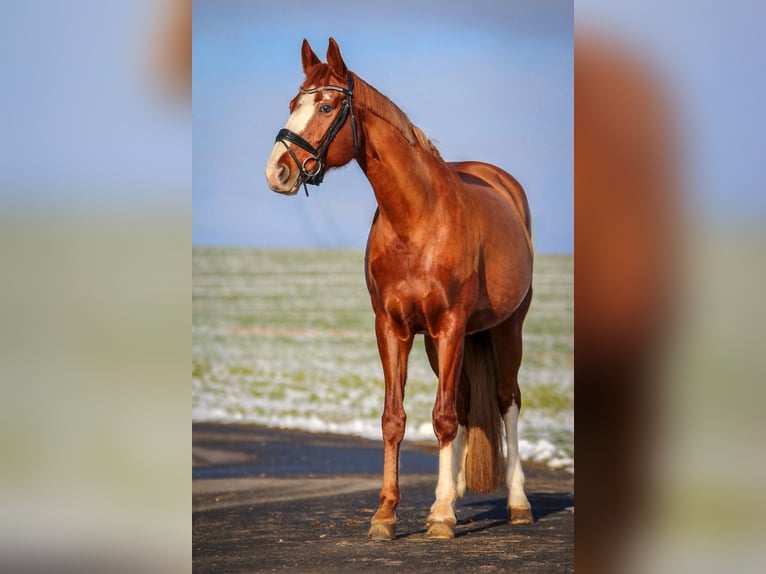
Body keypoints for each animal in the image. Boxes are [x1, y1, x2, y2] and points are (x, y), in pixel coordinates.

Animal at [265, 38, 534, 540]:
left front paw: (442, 517)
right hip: (441, 343)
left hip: (506, 329)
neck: (416, 219)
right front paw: (387, 515)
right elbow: (396, 420)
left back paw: (517, 502)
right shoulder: (393, 328)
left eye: (326, 106)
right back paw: (456, 494)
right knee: (465, 404)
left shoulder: (450, 325)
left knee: (507, 400)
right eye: (293, 104)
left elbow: (443, 419)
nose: (277, 171)